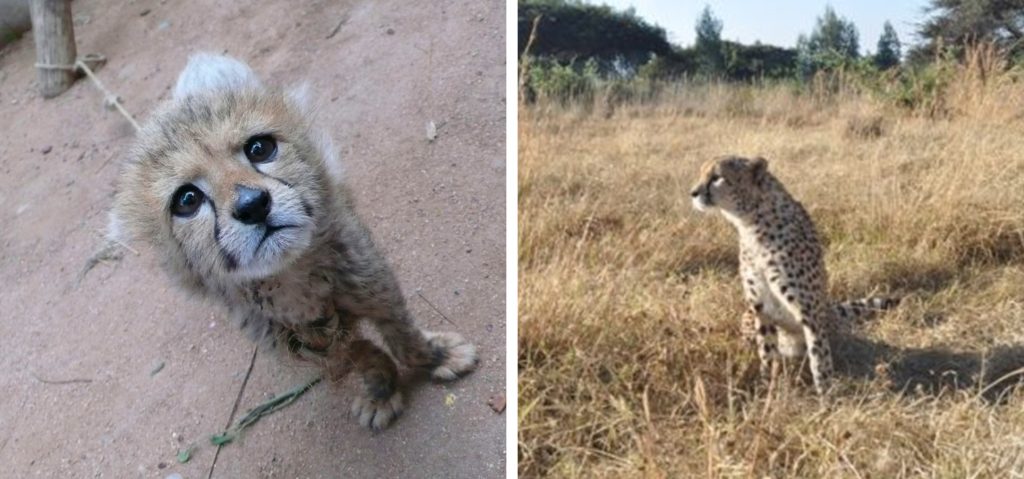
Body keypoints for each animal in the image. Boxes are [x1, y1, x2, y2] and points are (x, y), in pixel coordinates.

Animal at [688, 155, 897, 390]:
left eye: (717, 177)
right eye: (702, 173)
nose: (693, 193)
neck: (751, 222)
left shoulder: (809, 310)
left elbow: (818, 356)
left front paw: (826, 393)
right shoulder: (760, 307)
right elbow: (767, 352)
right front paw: (766, 385)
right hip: (748, 315)